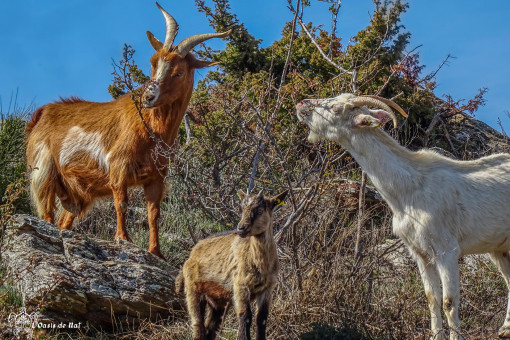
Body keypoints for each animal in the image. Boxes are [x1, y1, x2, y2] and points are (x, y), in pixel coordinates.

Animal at [25, 2, 229, 258]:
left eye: (179, 72)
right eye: (153, 62)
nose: (148, 97)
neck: (152, 130)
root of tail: (42, 114)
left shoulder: (156, 176)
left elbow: (154, 214)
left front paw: (156, 252)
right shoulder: (118, 166)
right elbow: (121, 202)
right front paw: (123, 238)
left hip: (78, 193)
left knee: (64, 220)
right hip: (43, 171)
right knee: (47, 213)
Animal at [175, 191, 286, 340]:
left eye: (260, 211)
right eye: (242, 209)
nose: (241, 228)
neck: (259, 263)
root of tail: (191, 255)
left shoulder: (267, 288)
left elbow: (262, 319)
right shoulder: (240, 284)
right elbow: (245, 316)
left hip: (216, 300)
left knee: (210, 328)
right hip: (193, 289)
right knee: (198, 325)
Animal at [296, 91, 510, 338]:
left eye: (336, 109)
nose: (302, 104)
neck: (408, 188)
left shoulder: (446, 250)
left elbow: (449, 301)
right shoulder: (420, 252)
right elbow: (431, 298)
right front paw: (435, 335)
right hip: (499, 248)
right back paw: (505, 329)